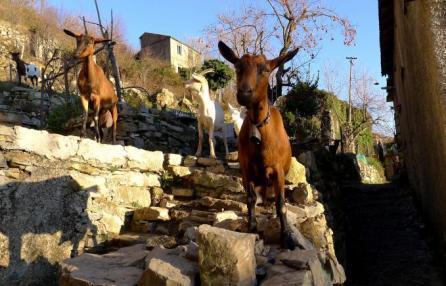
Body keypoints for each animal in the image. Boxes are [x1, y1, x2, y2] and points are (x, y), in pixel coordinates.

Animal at [218, 41, 298, 249]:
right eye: (237, 66)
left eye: (265, 69)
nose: (244, 93)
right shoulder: (245, 168)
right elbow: (250, 198)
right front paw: (252, 226)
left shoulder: (278, 170)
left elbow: (281, 204)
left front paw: (286, 236)